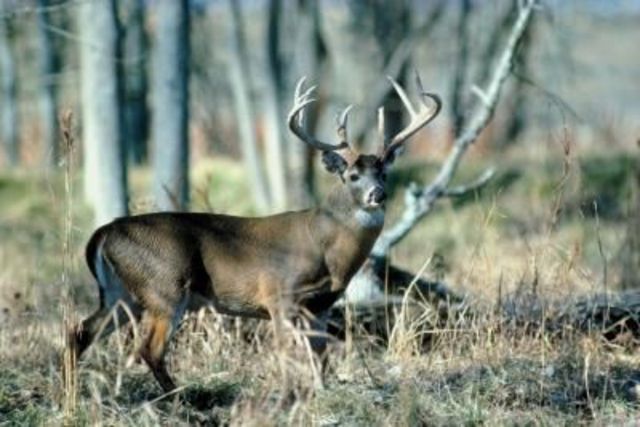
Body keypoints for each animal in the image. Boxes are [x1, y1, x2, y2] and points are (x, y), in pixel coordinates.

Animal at [73, 74, 441, 393]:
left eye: (384, 172)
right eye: (352, 175)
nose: (378, 194)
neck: (329, 250)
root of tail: (103, 232)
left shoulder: (321, 304)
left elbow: (319, 355)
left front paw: (320, 390)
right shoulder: (278, 294)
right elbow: (286, 351)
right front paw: (287, 392)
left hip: (122, 293)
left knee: (80, 331)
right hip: (164, 288)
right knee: (148, 348)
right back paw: (178, 398)